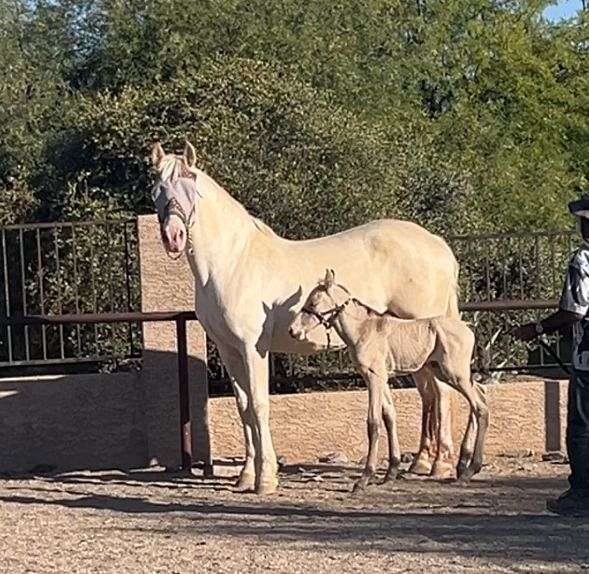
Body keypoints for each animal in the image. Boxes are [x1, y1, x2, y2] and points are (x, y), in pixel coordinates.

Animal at [150, 143, 460, 496]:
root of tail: (437, 244)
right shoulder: (229, 350)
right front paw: (245, 476)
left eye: (190, 184)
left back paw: (441, 466)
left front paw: (266, 479)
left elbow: (259, 404)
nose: (173, 236)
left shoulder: (253, 348)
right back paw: (419, 462)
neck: (232, 262)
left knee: (442, 393)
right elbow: (243, 407)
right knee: (429, 393)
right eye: (157, 187)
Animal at [288, 270, 486, 490]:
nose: (293, 330)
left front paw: (364, 478)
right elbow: (389, 416)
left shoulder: (374, 376)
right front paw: (390, 472)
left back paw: (469, 470)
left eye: (313, 302)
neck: (363, 330)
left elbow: (373, 421)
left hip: (455, 373)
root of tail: (469, 331)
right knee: (480, 396)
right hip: (448, 373)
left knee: (480, 407)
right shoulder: (380, 378)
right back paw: (463, 465)